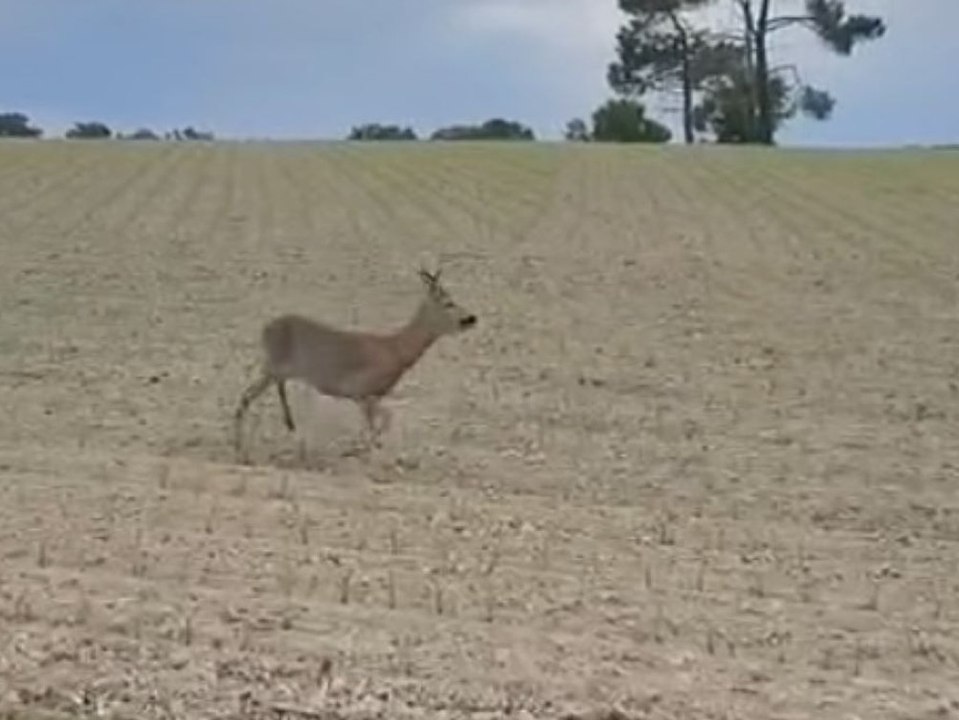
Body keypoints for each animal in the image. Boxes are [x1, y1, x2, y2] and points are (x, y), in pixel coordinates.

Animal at [233, 267, 477, 464]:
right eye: (448, 303)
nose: (471, 318)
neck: (396, 350)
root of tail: (266, 328)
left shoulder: (368, 397)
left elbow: (376, 426)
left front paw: (359, 451)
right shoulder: (363, 393)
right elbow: (382, 423)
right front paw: (361, 453)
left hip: (274, 371)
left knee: (249, 397)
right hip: (274, 368)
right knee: (247, 397)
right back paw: (245, 451)